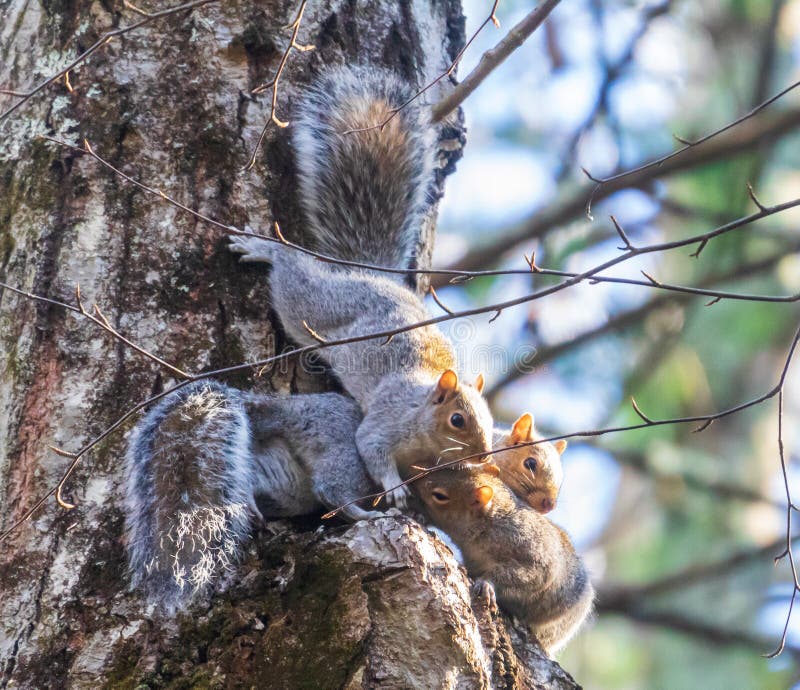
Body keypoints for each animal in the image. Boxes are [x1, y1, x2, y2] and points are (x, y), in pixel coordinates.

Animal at [125, 376, 382, 608]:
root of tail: (288, 408)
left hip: (284, 479)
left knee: (252, 479)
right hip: (337, 441)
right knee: (331, 486)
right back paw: (361, 513)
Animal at [225, 66, 496, 506]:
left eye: (489, 418)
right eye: (457, 419)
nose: (485, 455)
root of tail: (372, 275)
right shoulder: (385, 423)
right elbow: (370, 448)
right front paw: (393, 489)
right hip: (313, 308)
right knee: (292, 276)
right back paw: (265, 249)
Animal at [412, 464, 592, 652]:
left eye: (440, 496)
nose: (414, 482)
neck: (491, 523)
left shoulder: (532, 550)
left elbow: (534, 575)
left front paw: (487, 584)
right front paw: (421, 516)